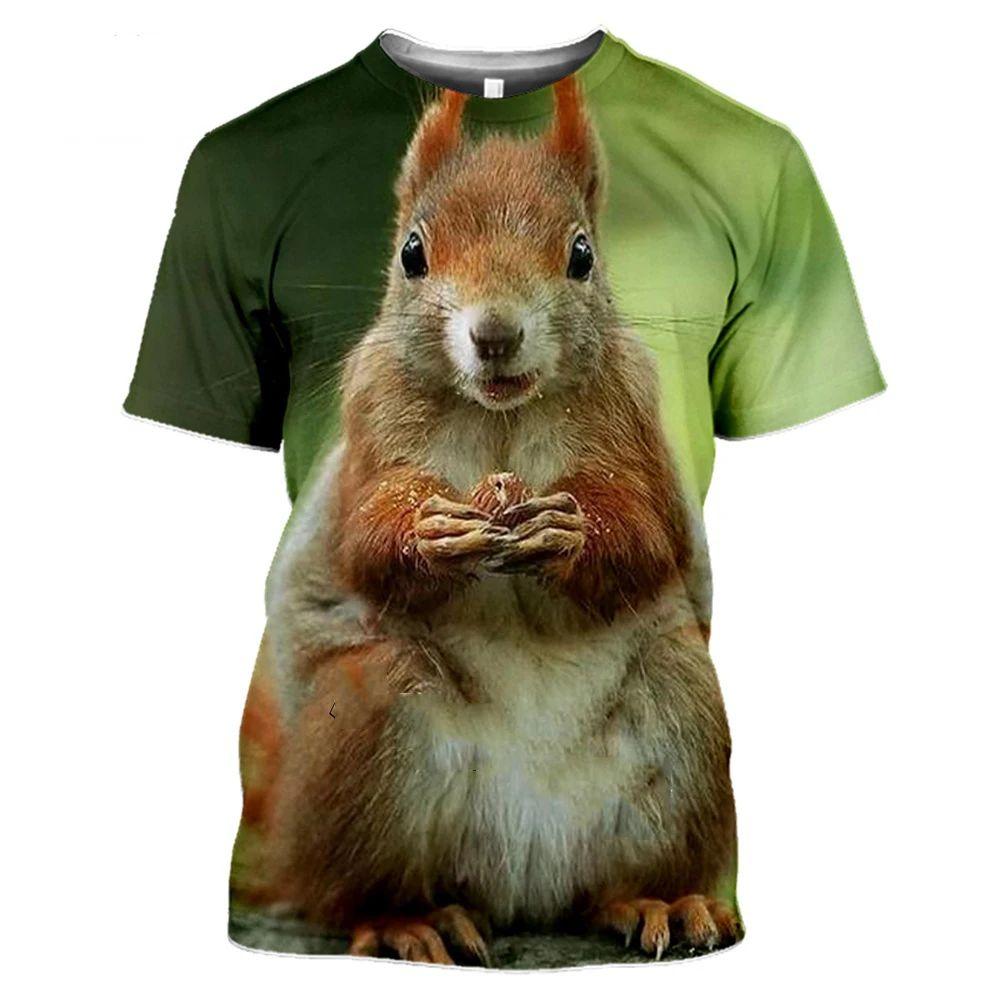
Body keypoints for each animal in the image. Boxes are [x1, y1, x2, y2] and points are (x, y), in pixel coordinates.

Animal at [248, 77, 738, 964]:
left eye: (582, 255)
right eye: (413, 253)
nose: (496, 333)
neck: (500, 415)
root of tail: (524, 877)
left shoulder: (632, 428)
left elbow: (643, 531)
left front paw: (570, 532)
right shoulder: (371, 422)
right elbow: (363, 533)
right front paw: (429, 531)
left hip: (681, 715)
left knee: (610, 882)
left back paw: (658, 899)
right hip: (366, 718)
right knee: (344, 895)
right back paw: (409, 919)